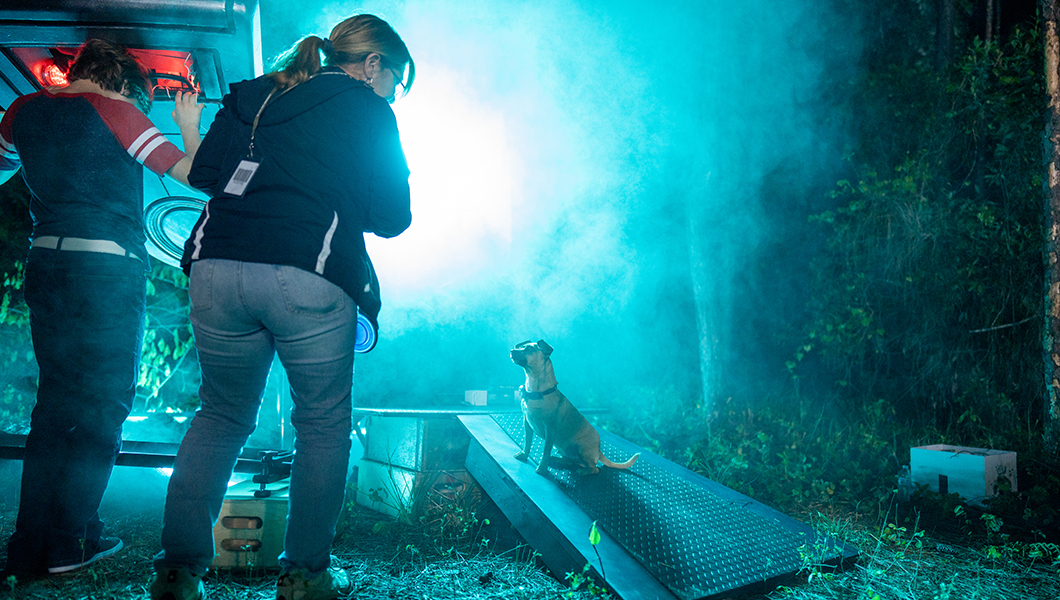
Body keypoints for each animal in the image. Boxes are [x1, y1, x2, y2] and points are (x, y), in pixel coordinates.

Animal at [510, 341, 640, 477]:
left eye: (529, 349)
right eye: (521, 347)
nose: (511, 351)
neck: (539, 392)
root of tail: (598, 450)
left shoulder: (550, 430)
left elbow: (545, 451)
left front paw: (542, 469)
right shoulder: (527, 424)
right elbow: (527, 443)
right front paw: (524, 455)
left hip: (582, 449)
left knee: (594, 468)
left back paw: (582, 471)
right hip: (562, 448)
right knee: (570, 461)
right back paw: (557, 460)